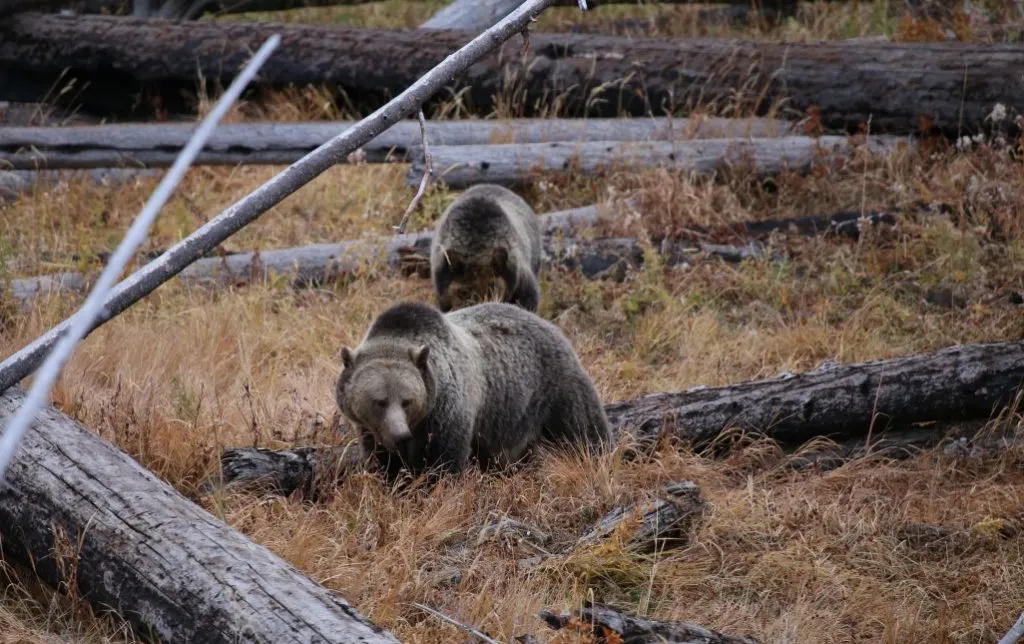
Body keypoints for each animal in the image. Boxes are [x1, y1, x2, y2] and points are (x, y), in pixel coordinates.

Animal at [335, 301, 610, 477]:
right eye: (379, 400)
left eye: (407, 400)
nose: (401, 435)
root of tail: (552, 325)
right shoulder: (372, 431)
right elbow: (384, 463)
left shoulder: (446, 412)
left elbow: (444, 462)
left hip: (555, 391)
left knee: (583, 430)